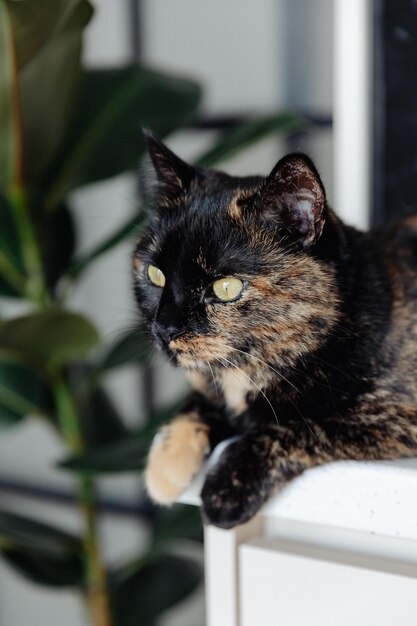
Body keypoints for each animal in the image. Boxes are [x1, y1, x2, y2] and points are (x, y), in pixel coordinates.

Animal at [132, 130, 416, 528]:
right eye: (155, 275)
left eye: (226, 287)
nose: (165, 328)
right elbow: (202, 400)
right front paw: (167, 464)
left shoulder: (396, 415)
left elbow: (302, 426)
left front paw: (225, 489)